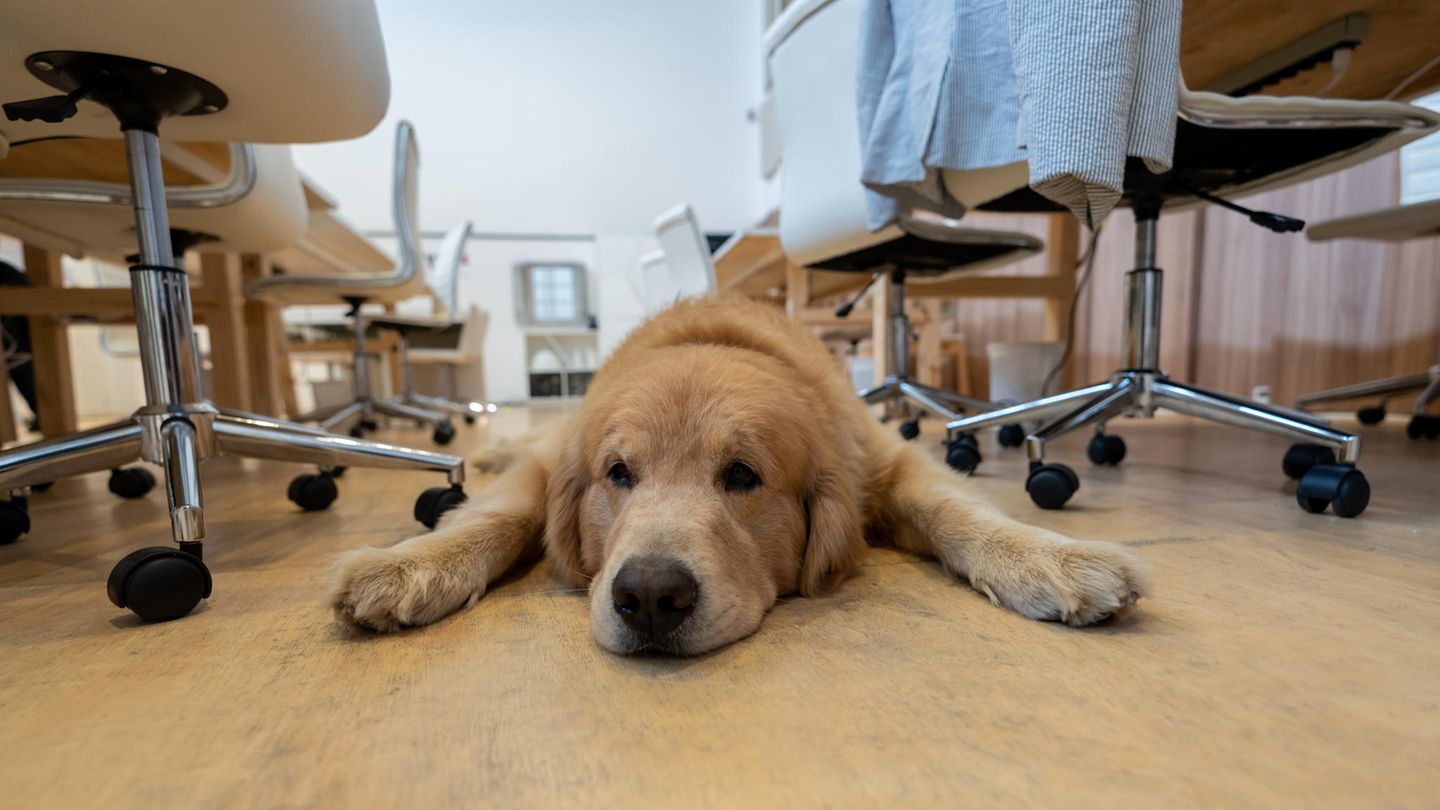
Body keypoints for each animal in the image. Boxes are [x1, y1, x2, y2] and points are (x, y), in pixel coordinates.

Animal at [329, 295, 1146, 648]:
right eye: (618, 473)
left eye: (744, 476)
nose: (649, 597)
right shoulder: (549, 469)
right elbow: (500, 513)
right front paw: (407, 566)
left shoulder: (886, 459)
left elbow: (959, 510)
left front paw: (1051, 559)